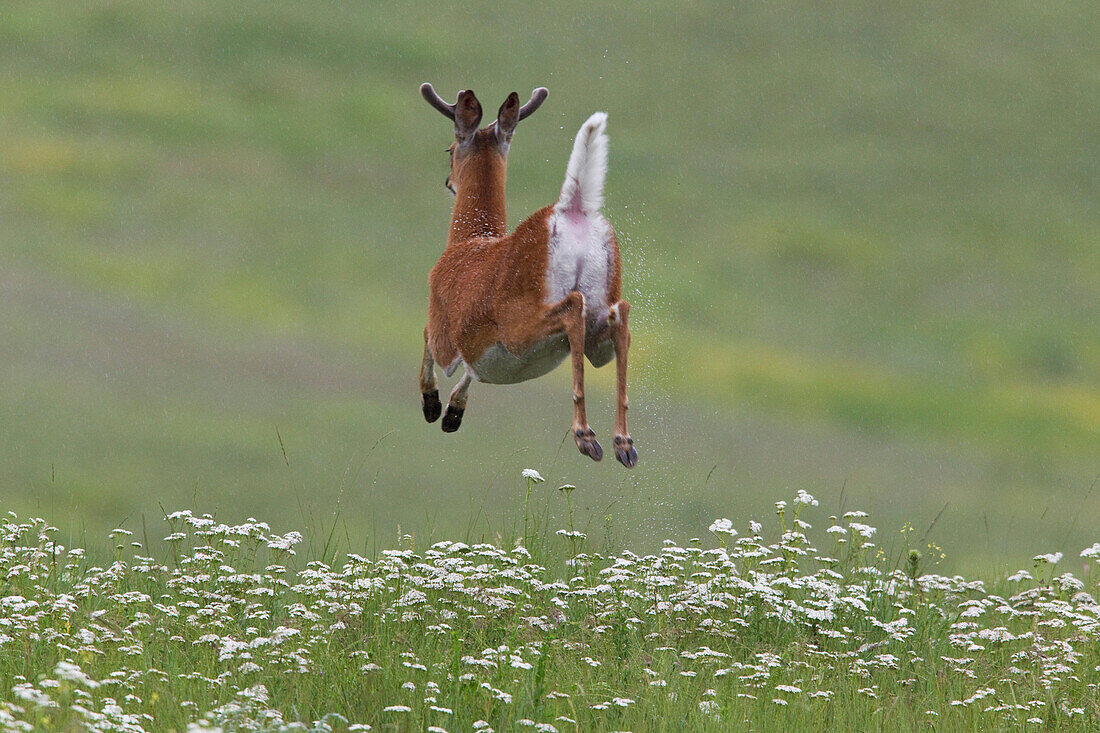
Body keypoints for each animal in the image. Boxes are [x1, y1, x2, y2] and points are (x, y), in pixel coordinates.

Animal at [418, 81, 642, 468]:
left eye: (448, 150)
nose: (448, 180)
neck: (469, 239)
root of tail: (573, 209)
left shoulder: (445, 327)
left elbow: (427, 340)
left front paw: (433, 405)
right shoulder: (478, 353)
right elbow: (472, 372)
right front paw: (452, 414)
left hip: (519, 324)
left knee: (573, 308)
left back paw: (586, 436)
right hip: (601, 316)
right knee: (619, 315)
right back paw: (622, 443)